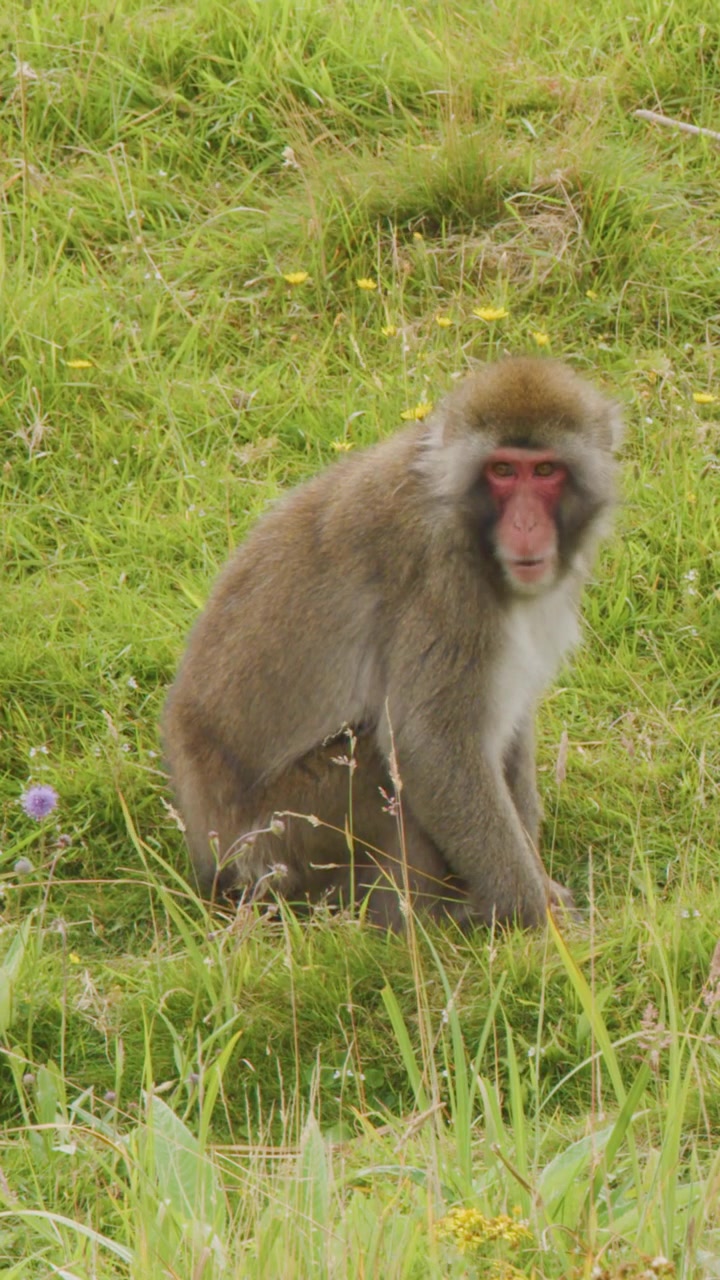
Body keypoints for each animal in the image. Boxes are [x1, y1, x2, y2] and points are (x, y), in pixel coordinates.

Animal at [163, 356, 622, 929]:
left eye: (544, 471)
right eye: (502, 471)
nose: (524, 525)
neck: (465, 517)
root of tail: (209, 857)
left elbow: (509, 725)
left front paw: (542, 889)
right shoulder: (444, 586)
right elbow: (431, 745)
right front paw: (533, 918)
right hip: (281, 838)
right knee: (377, 767)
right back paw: (415, 920)